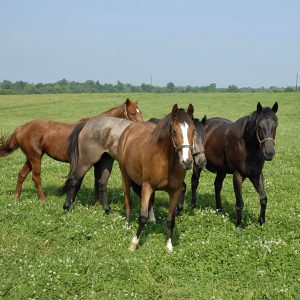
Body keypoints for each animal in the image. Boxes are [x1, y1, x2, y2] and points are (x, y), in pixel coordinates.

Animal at [0, 99, 143, 202]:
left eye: (140, 111)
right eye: (132, 113)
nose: (141, 126)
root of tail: (20, 128)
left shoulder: (97, 163)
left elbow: (96, 182)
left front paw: (96, 204)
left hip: (31, 158)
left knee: (21, 174)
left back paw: (16, 197)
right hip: (35, 158)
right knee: (36, 177)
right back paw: (43, 199)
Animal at [117, 104, 197, 252]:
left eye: (193, 130)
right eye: (174, 131)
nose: (187, 162)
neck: (165, 160)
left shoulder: (175, 191)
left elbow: (170, 220)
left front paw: (169, 245)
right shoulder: (147, 186)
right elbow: (142, 217)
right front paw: (133, 244)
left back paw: (152, 219)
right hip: (125, 175)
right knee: (128, 200)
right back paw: (127, 223)